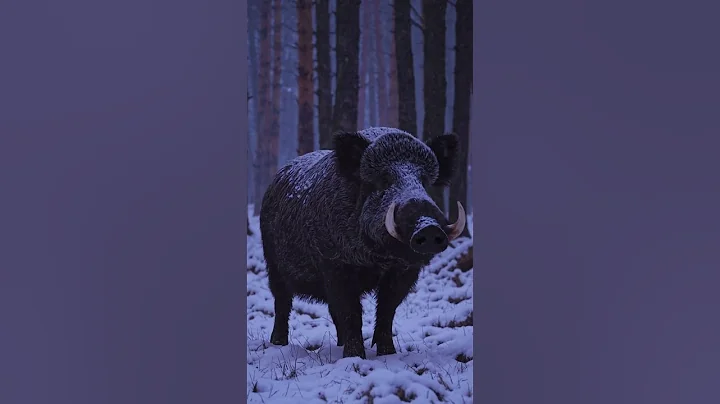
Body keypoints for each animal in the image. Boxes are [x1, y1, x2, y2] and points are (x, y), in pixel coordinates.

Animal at [259, 127, 466, 359]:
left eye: (424, 182)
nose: (428, 226)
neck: (378, 258)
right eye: (384, 180)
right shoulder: (334, 264)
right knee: (282, 302)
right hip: (273, 263)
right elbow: (351, 311)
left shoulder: (404, 271)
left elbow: (387, 309)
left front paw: (387, 354)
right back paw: (278, 344)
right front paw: (355, 357)